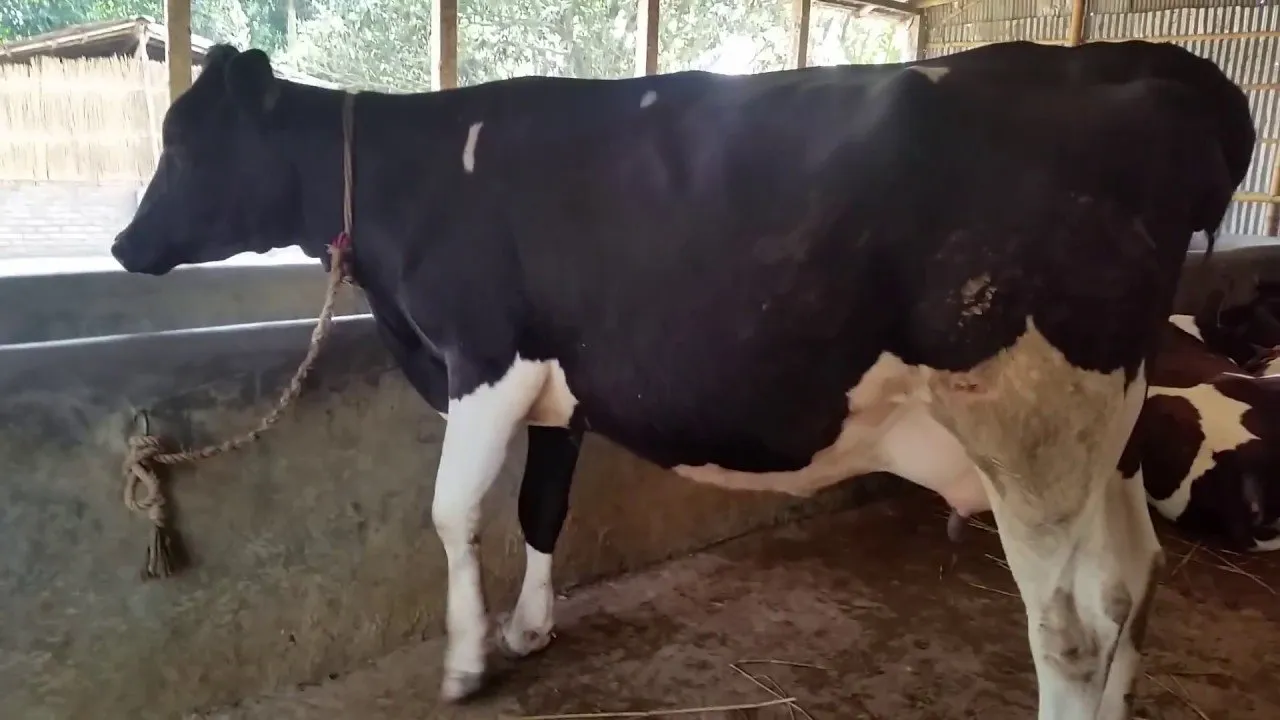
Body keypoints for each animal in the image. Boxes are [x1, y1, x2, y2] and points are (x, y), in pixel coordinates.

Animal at [109, 40, 1253, 719]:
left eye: (186, 145)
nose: (123, 246)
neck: (414, 180)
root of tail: (1148, 73)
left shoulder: (484, 358)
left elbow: (451, 512)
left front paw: (468, 660)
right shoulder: (558, 385)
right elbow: (541, 507)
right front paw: (529, 628)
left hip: (1030, 426)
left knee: (1069, 630)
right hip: (1102, 435)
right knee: (1127, 585)